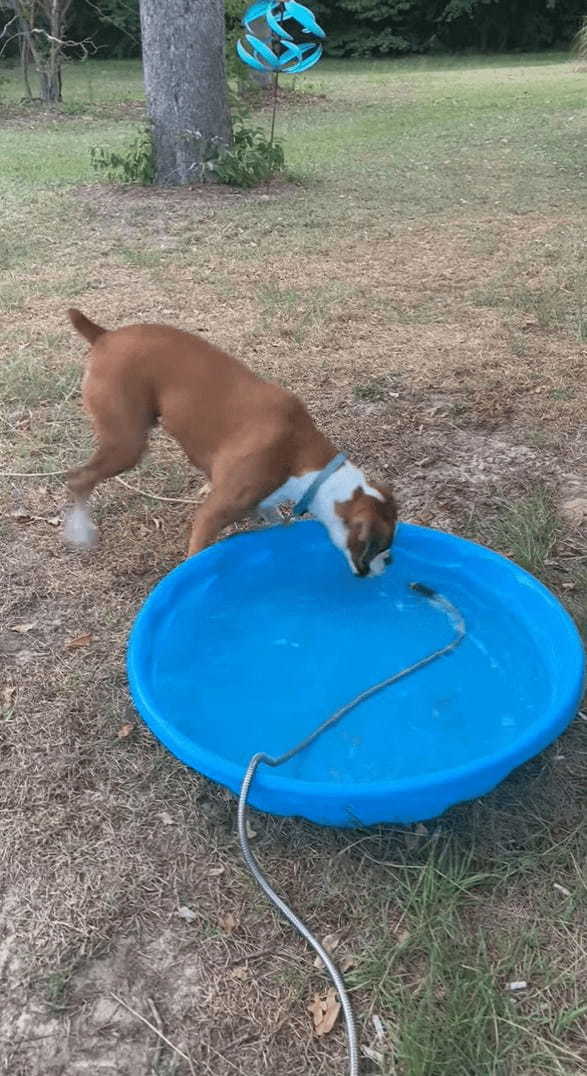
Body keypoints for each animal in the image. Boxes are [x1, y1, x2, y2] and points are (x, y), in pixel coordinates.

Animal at [63, 309, 397, 581]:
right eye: (380, 546)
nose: (390, 562)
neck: (307, 463)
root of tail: (106, 335)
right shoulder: (211, 516)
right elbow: (196, 555)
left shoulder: (264, 504)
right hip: (126, 444)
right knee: (78, 479)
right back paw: (81, 532)